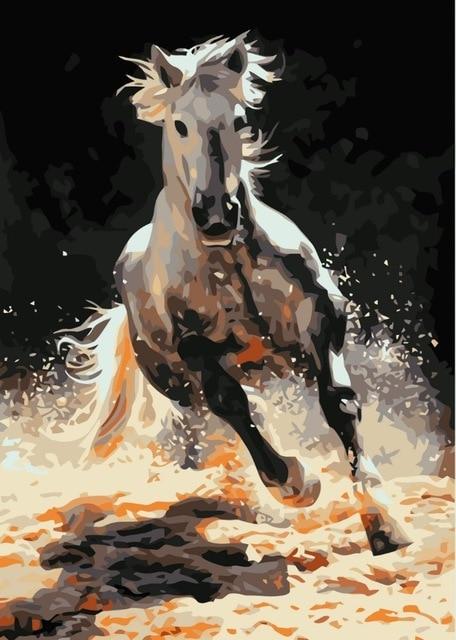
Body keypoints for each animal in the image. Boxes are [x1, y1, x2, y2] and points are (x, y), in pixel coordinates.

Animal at [60, 33, 411, 554]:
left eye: (239, 121)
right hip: (174, 379)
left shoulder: (321, 317)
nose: (216, 215)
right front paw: (296, 483)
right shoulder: (196, 349)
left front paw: (384, 523)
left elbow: (340, 402)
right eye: (179, 124)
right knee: (220, 411)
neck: (228, 262)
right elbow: (233, 407)